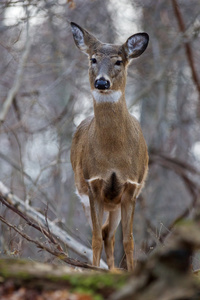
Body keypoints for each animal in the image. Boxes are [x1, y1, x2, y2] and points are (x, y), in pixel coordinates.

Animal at [70, 22, 148, 272]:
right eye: (93, 59)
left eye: (119, 61)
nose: (102, 82)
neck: (113, 156)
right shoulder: (93, 183)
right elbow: (95, 238)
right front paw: (94, 270)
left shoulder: (131, 186)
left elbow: (129, 240)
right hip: (86, 195)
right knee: (103, 233)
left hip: (115, 204)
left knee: (110, 235)